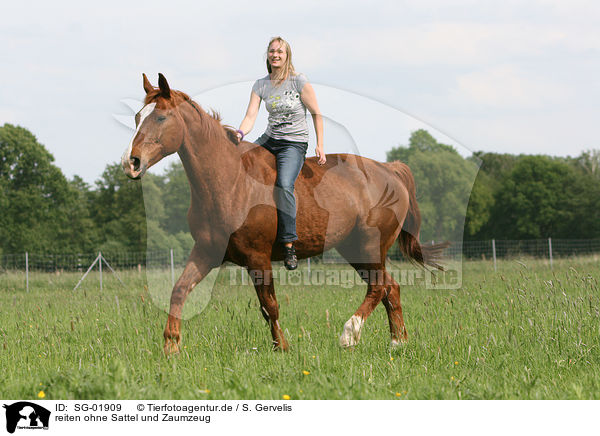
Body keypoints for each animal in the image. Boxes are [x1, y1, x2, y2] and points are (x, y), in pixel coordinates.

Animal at [120, 74, 446, 354]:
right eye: (137, 117)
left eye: (161, 117)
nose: (130, 162)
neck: (230, 180)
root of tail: (390, 170)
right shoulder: (206, 252)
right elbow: (179, 290)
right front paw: (171, 346)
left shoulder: (258, 258)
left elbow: (269, 305)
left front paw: (282, 347)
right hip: (355, 249)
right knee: (391, 288)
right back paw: (397, 342)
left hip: (369, 247)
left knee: (378, 288)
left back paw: (350, 334)